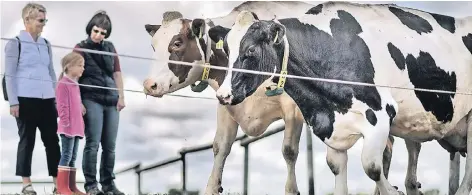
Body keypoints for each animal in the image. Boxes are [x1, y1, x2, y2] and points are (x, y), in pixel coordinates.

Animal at [211, 1, 472, 195]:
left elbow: (372, 167)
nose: (223, 95)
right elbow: (337, 170)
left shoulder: (380, 115)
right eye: (226, 50)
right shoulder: (331, 126)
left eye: (250, 51)